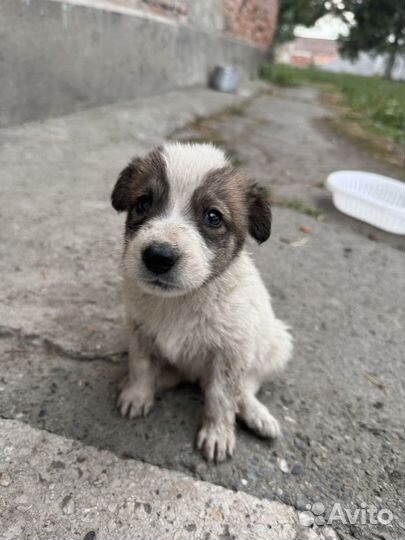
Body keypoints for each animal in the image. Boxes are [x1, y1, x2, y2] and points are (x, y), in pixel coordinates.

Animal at [112, 143, 292, 464]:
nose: (158, 257)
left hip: (277, 343)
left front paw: (218, 434)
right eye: (143, 203)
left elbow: (222, 397)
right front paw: (137, 394)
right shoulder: (140, 331)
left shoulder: (232, 351)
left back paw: (256, 414)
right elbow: (141, 366)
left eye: (213, 217)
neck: (183, 300)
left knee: (245, 387)